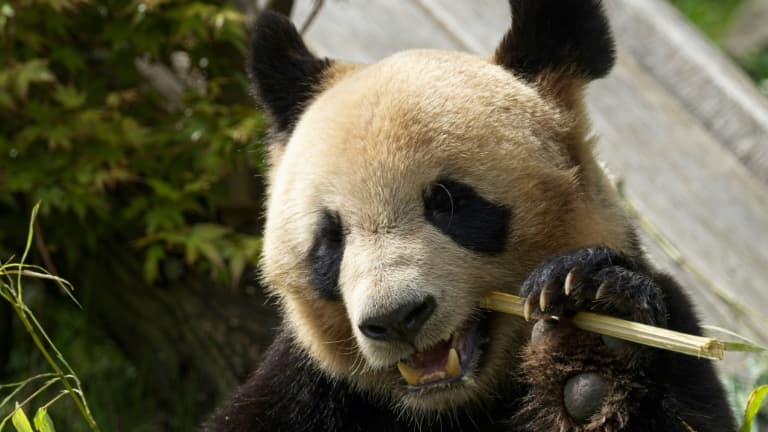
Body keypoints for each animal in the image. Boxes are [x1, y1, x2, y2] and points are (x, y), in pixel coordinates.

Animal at [201, 1, 736, 430]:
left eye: (449, 203)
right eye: (330, 239)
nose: (396, 318)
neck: (447, 407)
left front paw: (596, 316)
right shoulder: (304, 388)